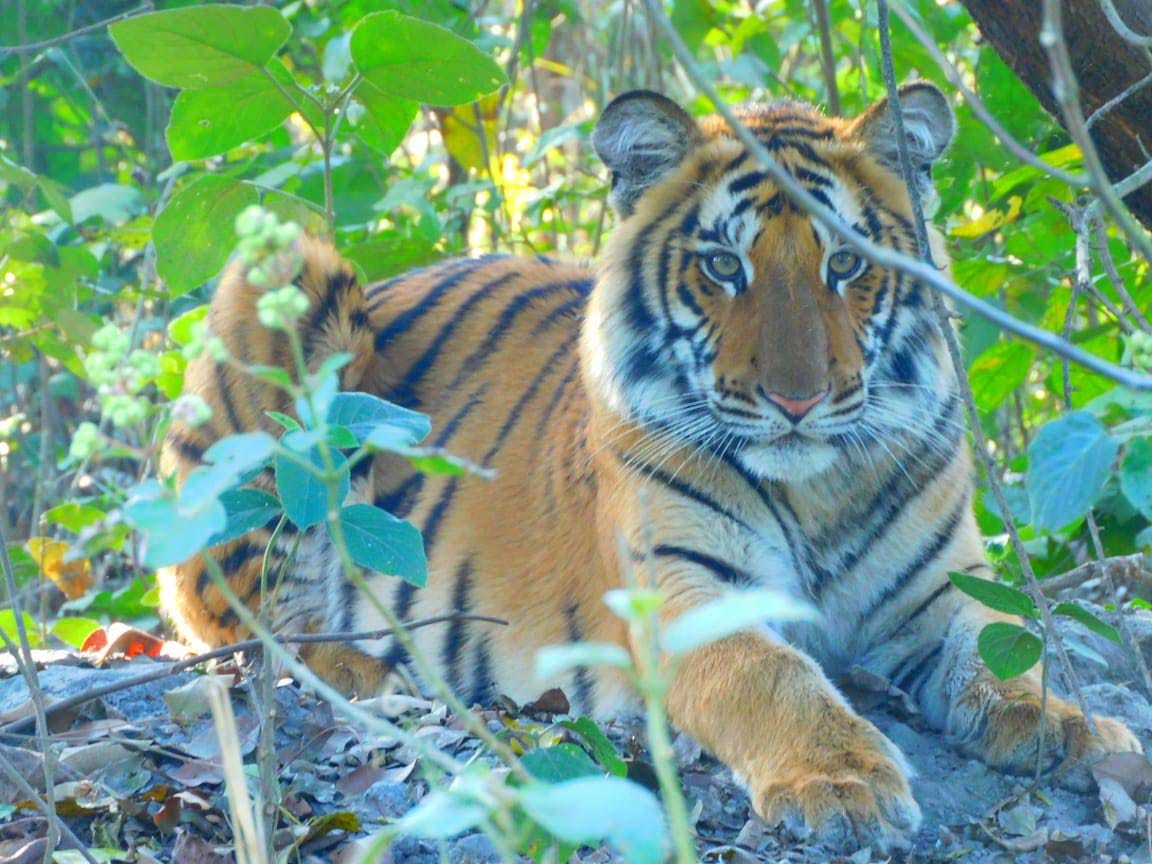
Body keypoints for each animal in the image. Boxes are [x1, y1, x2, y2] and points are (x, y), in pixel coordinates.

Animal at [158, 82, 1141, 852]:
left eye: (846, 264)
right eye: (723, 266)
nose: (796, 401)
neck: (821, 485)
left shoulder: (941, 588)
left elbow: (1010, 649)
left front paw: (1076, 727)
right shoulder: (686, 595)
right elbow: (772, 677)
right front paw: (842, 781)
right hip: (275, 295)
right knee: (246, 626)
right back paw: (371, 670)